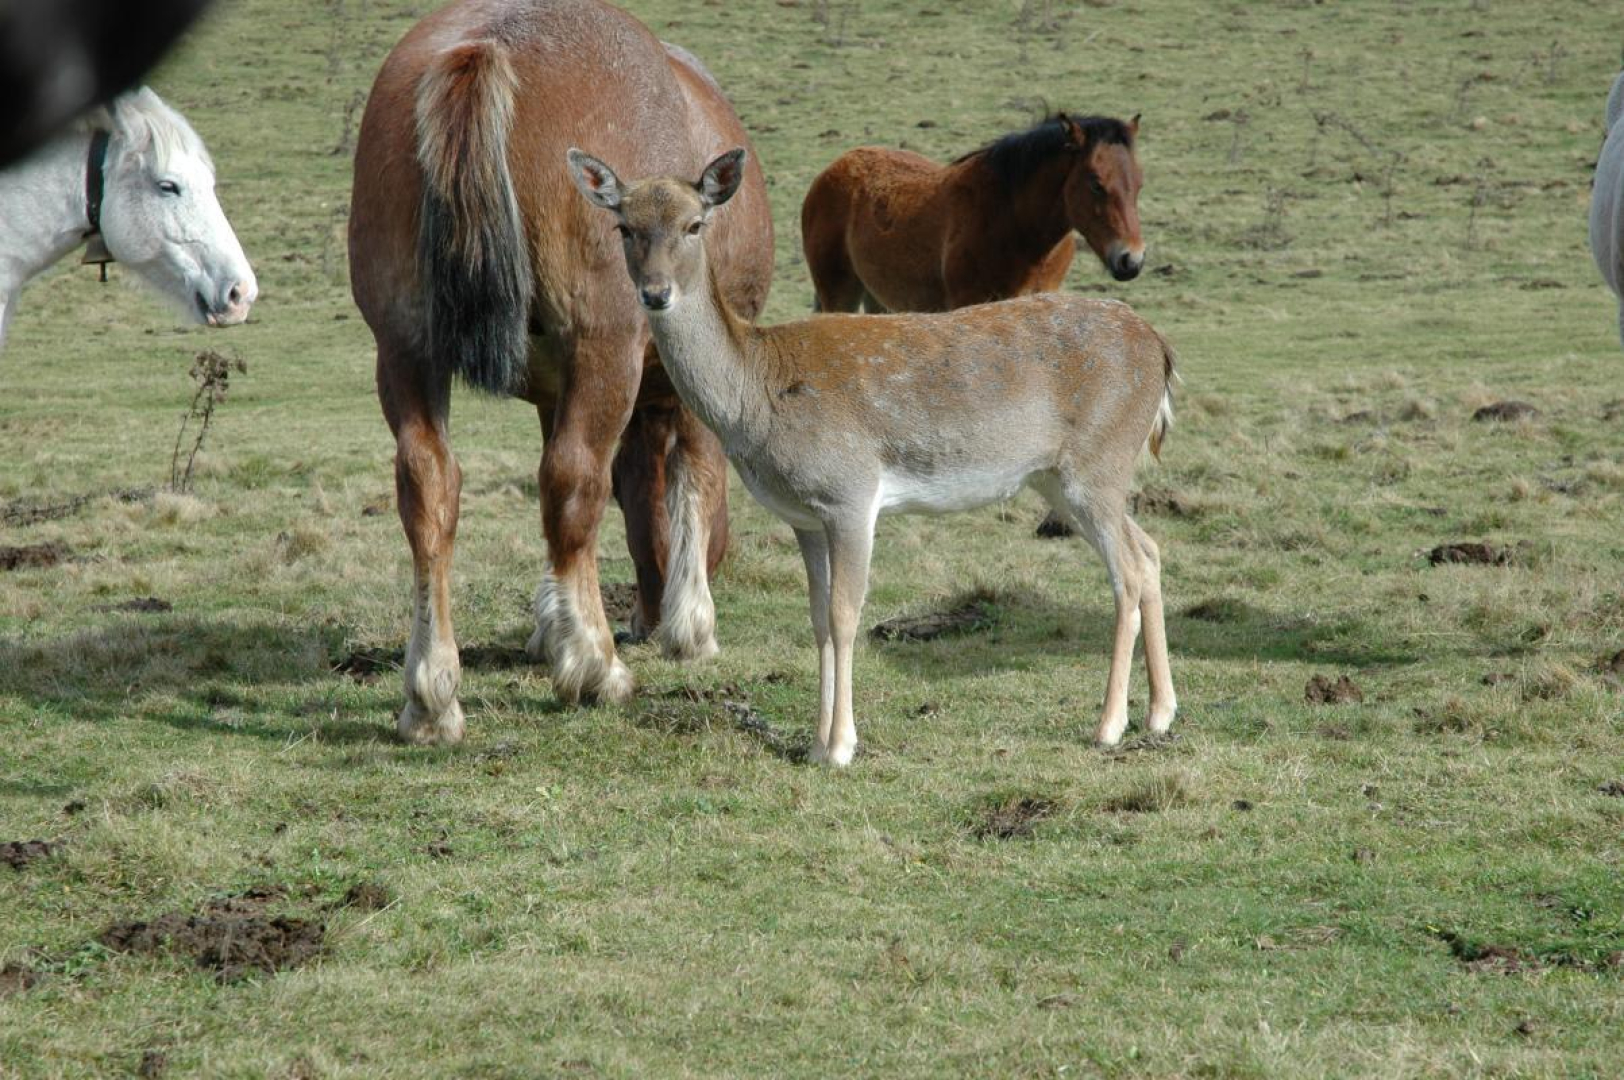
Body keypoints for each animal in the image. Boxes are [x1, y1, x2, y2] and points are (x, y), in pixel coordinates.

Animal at [348, 0, 773, 745]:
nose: (645, 616)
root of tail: (489, 45)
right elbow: (693, 474)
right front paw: (689, 626)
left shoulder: (553, 387)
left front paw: (554, 625)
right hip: (602, 345)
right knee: (573, 480)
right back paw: (596, 668)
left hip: (403, 350)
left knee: (429, 486)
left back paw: (431, 693)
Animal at [567, 147, 1179, 766]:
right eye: (624, 226)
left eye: (695, 224)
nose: (655, 292)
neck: (756, 393)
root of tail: (1161, 349)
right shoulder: (804, 517)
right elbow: (816, 618)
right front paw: (816, 742)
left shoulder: (850, 493)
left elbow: (845, 615)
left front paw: (841, 745)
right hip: (1063, 477)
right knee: (1150, 550)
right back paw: (1159, 713)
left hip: (1098, 462)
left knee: (1127, 570)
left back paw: (1109, 725)